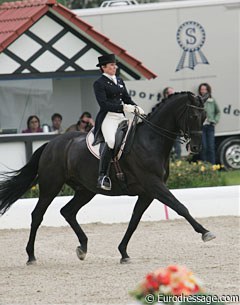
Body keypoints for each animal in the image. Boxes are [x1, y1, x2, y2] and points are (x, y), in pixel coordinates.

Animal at [0, 91, 215, 264]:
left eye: (205, 116)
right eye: (193, 115)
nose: (196, 147)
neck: (151, 140)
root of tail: (50, 144)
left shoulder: (148, 192)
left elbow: (134, 220)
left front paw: (123, 253)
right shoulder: (154, 185)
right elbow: (180, 207)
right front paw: (206, 232)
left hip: (86, 190)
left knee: (68, 211)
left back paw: (83, 248)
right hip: (51, 186)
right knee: (37, 215)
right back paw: (31, 256)